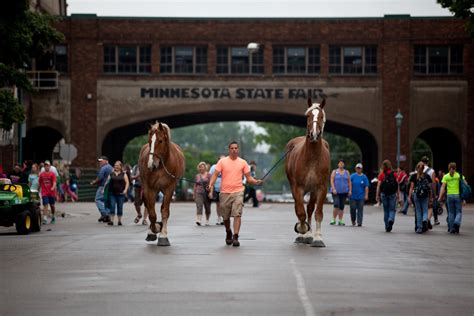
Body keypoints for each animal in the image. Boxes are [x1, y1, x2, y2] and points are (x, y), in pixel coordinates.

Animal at [286, 97, 330, 247]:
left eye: (321, 116)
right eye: (308, 116)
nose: (314, 134)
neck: (312, 158)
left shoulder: (321, 188)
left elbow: (318, 213)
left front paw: (317, 238)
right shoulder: (297, 188)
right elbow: (300, 212)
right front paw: (302, 230)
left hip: (313, 191)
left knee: (310, 208)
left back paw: (310, 235)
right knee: (299, 208)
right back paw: (303, 233)